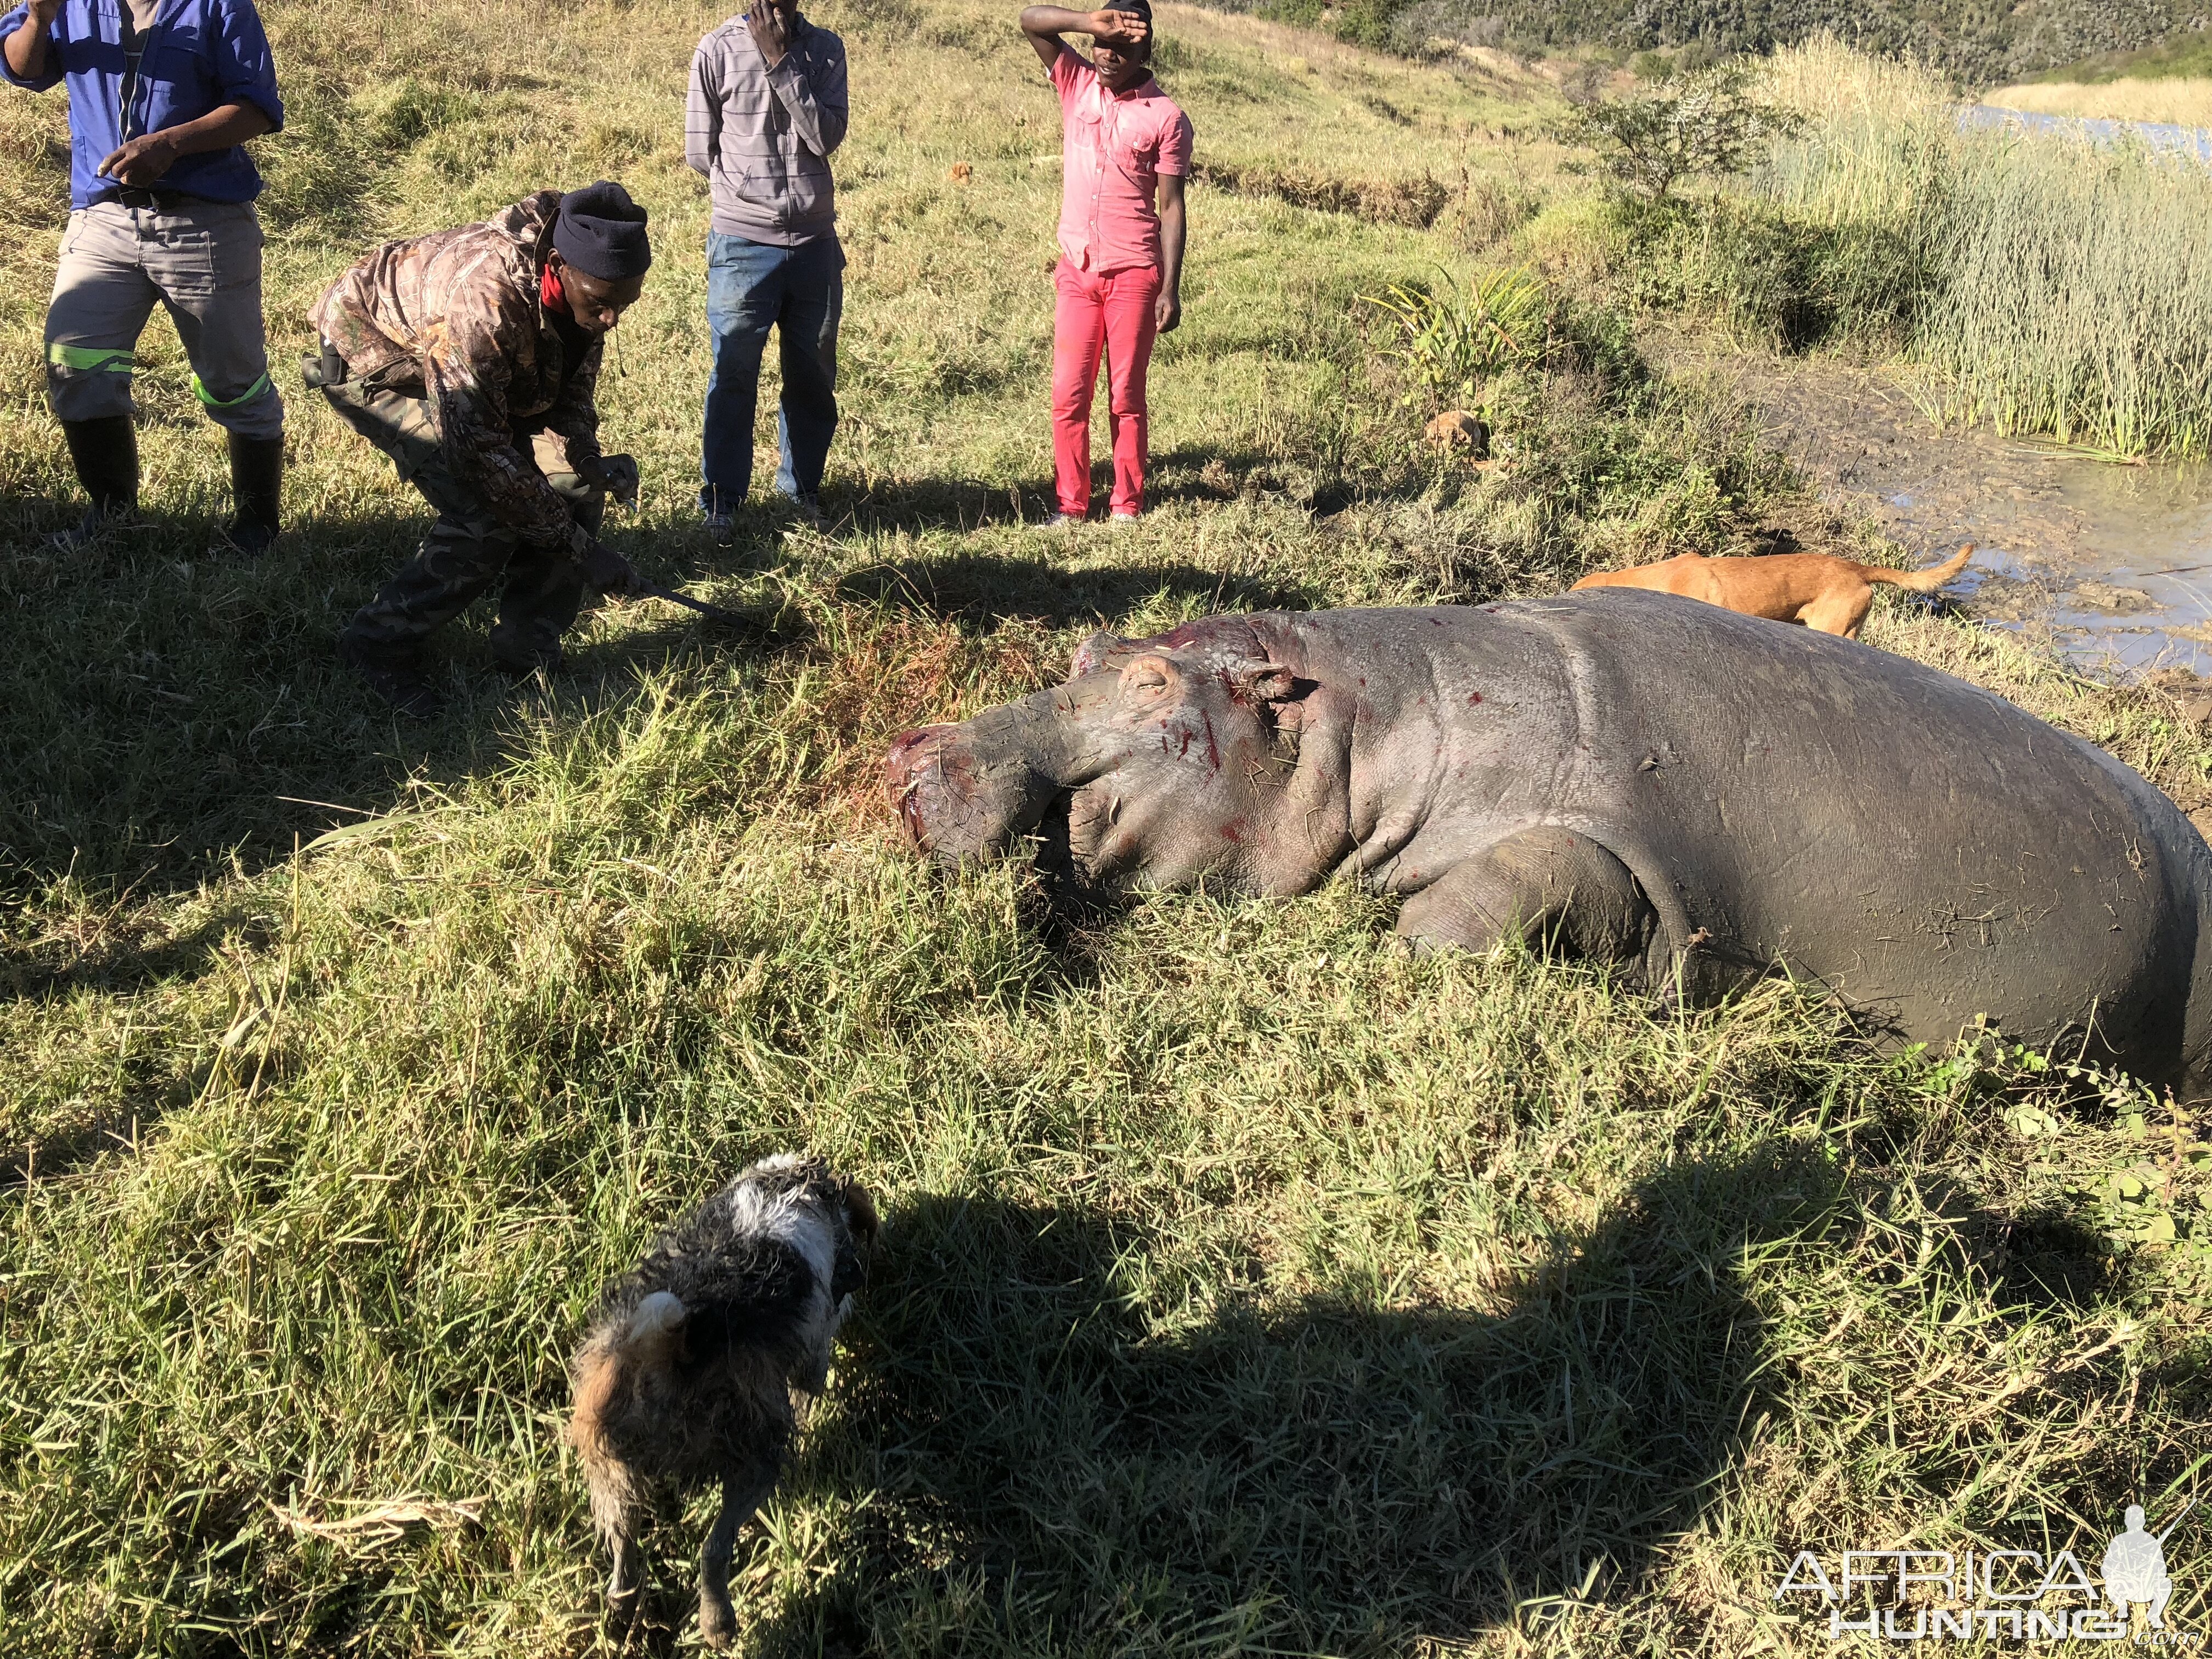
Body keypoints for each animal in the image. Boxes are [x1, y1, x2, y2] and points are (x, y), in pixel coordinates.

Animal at [566, 1159, 876, 1654]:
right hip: (755, 1452)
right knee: (713, 1550)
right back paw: (718, 1623)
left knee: (624, 1549)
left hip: (609, 1465)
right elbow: (813, 1383)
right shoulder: (814, 1348)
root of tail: (669, 1351)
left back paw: (621, 1613)